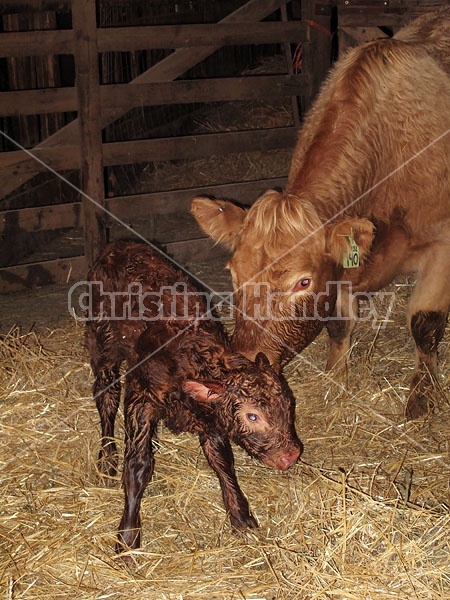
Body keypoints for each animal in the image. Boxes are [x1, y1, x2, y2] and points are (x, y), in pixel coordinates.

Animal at [84, 241, 302, 552]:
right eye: (252, 416)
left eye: (289, 405)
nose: (291, 456)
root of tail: (117, 245)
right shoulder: (141, 397)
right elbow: (137, 466)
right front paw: (127, 538)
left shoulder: (211, 418)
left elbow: (223, 461)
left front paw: (241, 517)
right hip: (102, 340)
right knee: (106, 394)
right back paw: (106, 458)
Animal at [191, 10, 450, 422]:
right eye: (232, 273)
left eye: (302, 282)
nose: (242, 361)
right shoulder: (342, 270)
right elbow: (339, 326)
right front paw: (335, 376)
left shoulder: (442, 244)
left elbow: (425, 324)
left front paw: (422, 398)